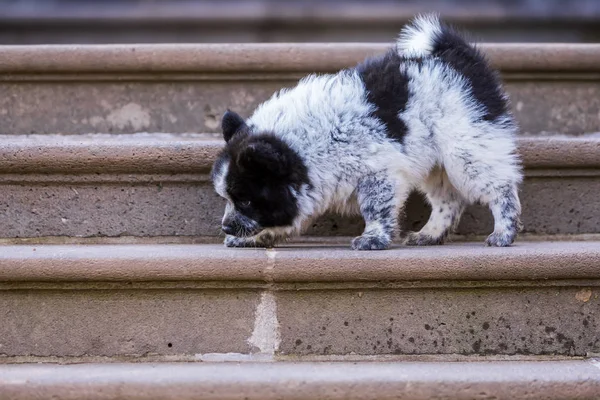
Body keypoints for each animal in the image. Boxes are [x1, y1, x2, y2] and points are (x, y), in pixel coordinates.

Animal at [211, 14, 520, 250]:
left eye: (246, 200)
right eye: (228, 199)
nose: (226, 227)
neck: (307, 146)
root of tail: (457, 57)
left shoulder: (377, 173)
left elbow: (375, 209)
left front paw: (373, 238)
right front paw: (256, 237)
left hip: (466, 149)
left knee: (500, 189)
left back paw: (504, 233)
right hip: (436, 163)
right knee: (449, 200)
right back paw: (429, 234)